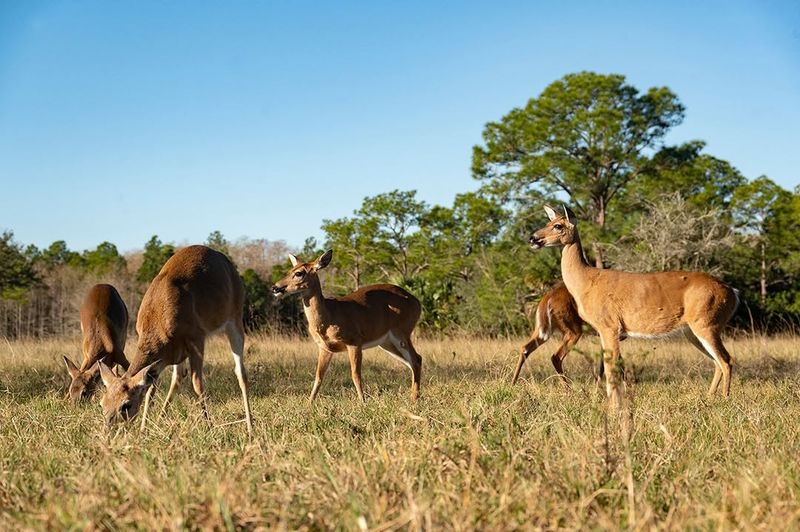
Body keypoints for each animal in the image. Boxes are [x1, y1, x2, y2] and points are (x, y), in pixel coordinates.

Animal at [98, 245, 253, 434]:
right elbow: (150, 390)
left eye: (126, 405)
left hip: (235, 318)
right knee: (178, 376)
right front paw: (143, 430)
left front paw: (209, 427)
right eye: (102, 404)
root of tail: (229, 264)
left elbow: (197, 384)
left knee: (241, 373)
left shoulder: (197, 337)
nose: (108, 430)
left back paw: (250, 426)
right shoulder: (164, 356)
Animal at [271, 250, 423, 402]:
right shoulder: (324, 348)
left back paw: (414, 398)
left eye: (299, 273)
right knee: (412, 361)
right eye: (289, 270)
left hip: (402, 332)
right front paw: (309, 403)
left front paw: (363, 402)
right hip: (386, 342)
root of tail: (417, 302)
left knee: (416, 359)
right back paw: (414, 396)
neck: (328, 317)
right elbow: (318, 377)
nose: (275, 287)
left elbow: (355, 375)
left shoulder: (354, 341)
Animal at [529, 205, 739, 407]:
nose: (533, 238)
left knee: (726, 360)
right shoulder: (606, 330)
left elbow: (611, 368)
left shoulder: (610, 325)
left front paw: (614, 408)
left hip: (707, 323)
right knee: (717, 362)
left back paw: (725, 401)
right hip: (693, 330)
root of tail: (733, 293)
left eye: (558, 226)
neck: (586, 282)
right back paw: (709, 398)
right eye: (549, 222)